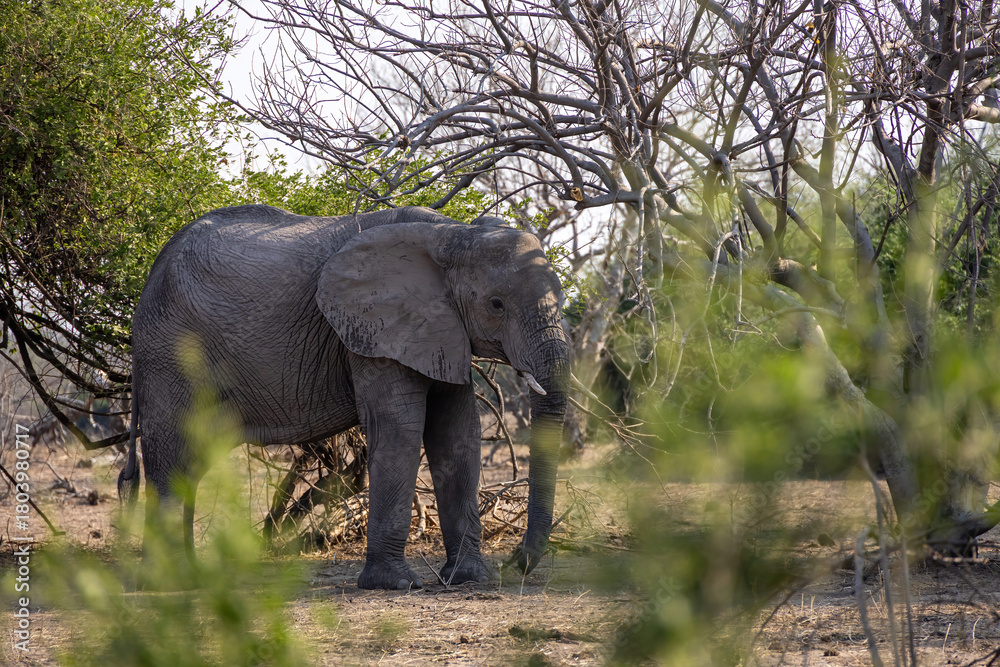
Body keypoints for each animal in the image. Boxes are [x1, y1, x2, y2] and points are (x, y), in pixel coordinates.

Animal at [119, 204, 569, 590]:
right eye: (496, 304)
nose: (515, 562)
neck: (453, 234)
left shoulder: (441, 329)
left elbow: (457, 433)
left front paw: (469, 578)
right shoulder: (372, 331)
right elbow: (401, 429)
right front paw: (395, 585)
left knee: (191, 463)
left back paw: (193, 577)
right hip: (170, 350)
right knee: (173, 457)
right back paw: (168, 583)